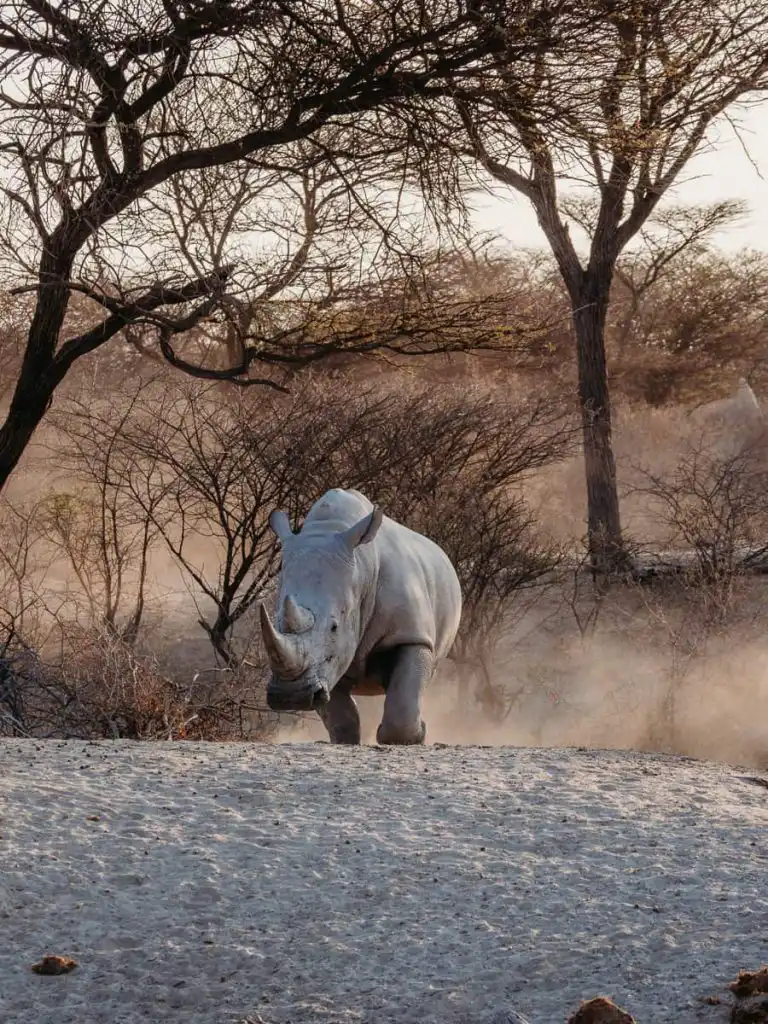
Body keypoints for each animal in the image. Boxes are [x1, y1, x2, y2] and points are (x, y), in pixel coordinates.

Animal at [260, 488, 462, 745]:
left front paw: (416, 736)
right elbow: (340, 711)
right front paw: (345, 740)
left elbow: (403, 700)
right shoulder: (328, 661)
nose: (290, 696)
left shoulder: (412, 635)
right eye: (275, 622)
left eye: (334, 626)